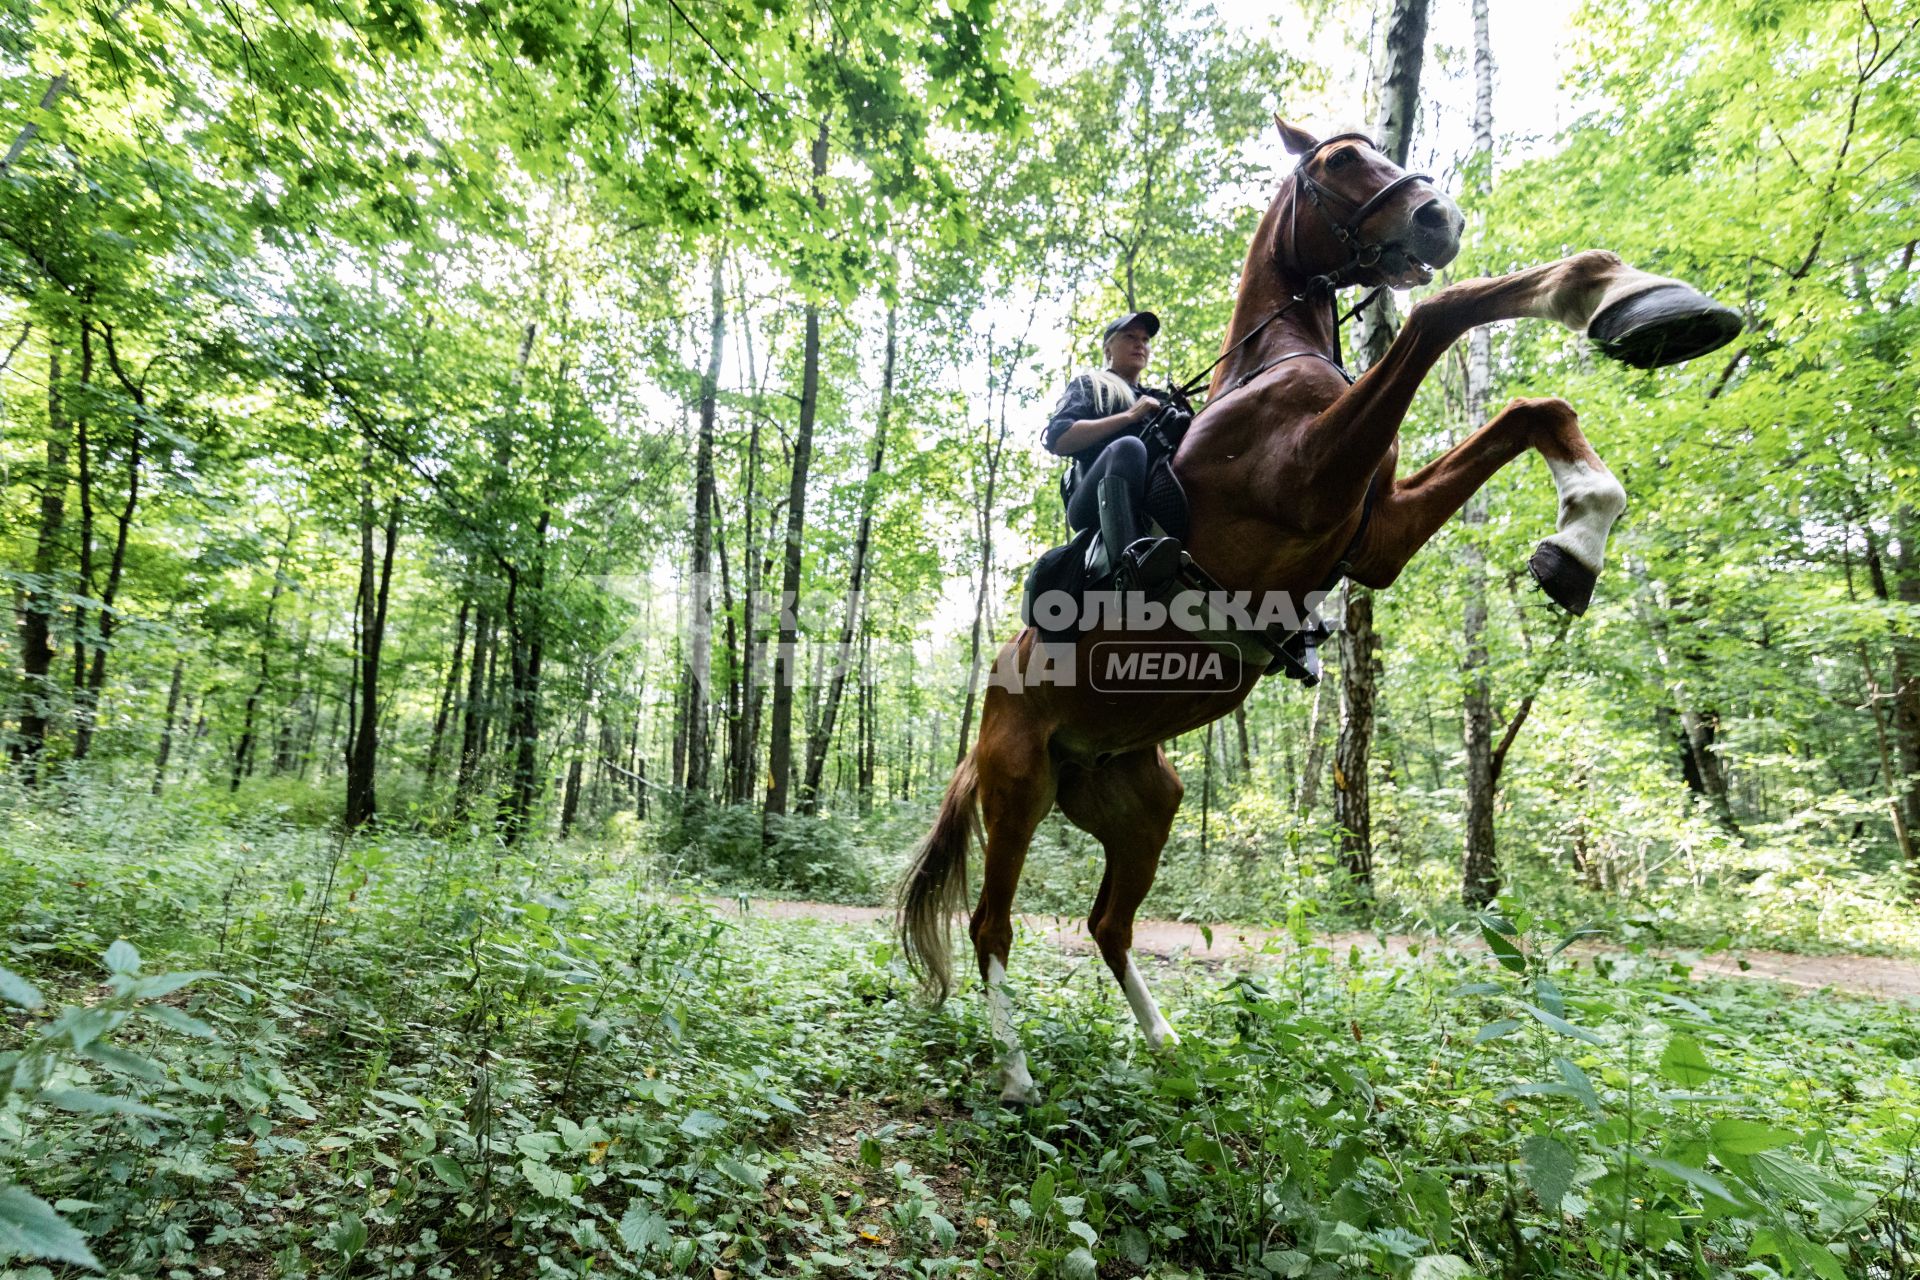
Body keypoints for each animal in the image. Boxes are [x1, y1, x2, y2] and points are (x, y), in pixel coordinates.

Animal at [898, 115, 1743, 1105]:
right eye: (1341, 161)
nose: (1441, 220)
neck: (1270, 371)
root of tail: (990, 716)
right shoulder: (1312, 482)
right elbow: (1444, 313)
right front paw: (1605, 296)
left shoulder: (1374, 538)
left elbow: (1534, 407)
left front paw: (1581, 529)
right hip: (1019, 790)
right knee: (992, 924)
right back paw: (1016, 1071)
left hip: (1142, 804)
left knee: (1110, 923)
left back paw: (1166, 1044)